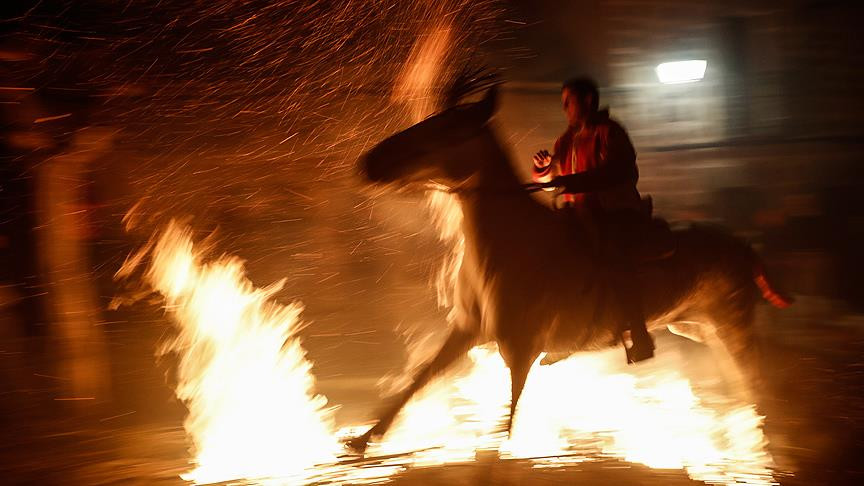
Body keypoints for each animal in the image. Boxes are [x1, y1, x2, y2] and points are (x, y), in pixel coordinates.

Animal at [348, 78, 792, 454]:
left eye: (446, 127)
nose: (371, 162)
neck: (510, 242)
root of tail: (743, 245)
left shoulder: (520, 350)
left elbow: (506, 423)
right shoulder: (466, 330)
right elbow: (418, 381)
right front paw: (366, 437)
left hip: (731, 326)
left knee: (755, 381)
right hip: (698, 327)